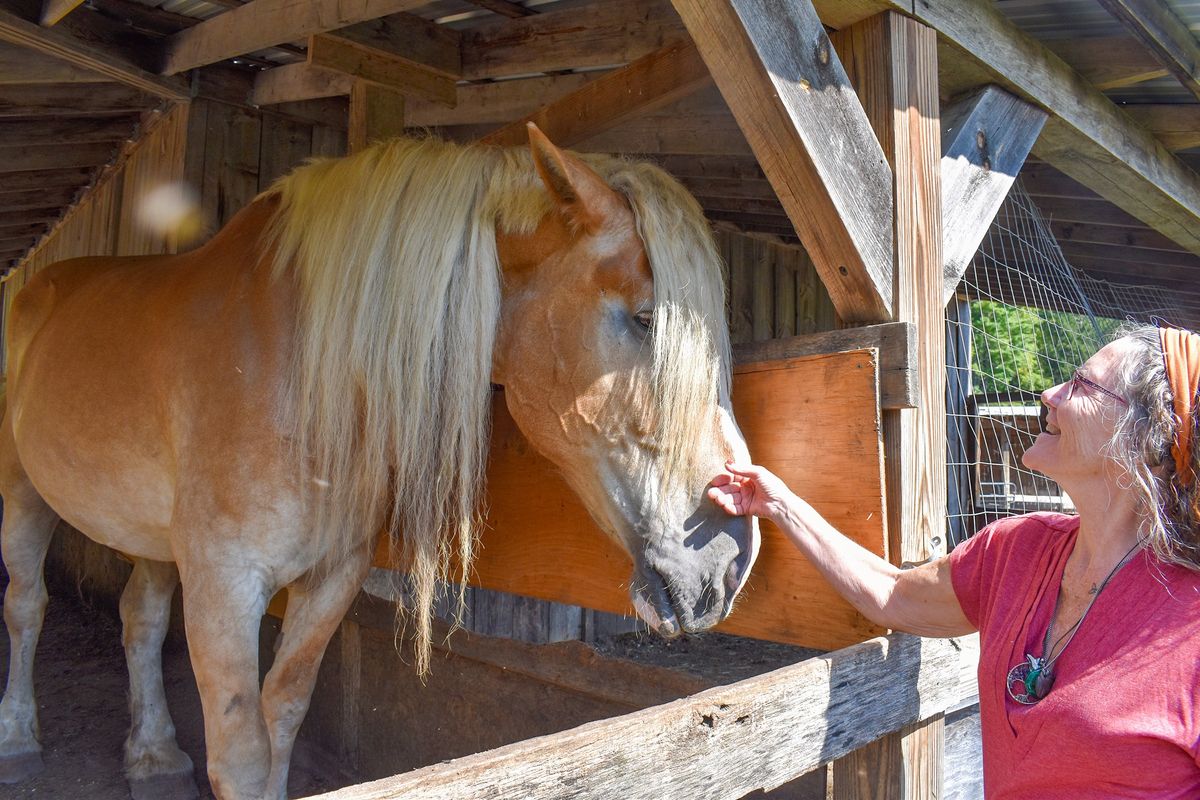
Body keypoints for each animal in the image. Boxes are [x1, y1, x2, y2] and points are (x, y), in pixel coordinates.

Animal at [0, 125, 753, 800]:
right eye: (646, 318)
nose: (730, 558)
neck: (300, 369)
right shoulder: (223, 585)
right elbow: (241, 755)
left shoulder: (334, 575)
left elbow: (283, 711)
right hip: (23, 496)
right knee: (26, 605)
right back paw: (19, 741)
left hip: (151, 534)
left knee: (140, 617)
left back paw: (153, 757)